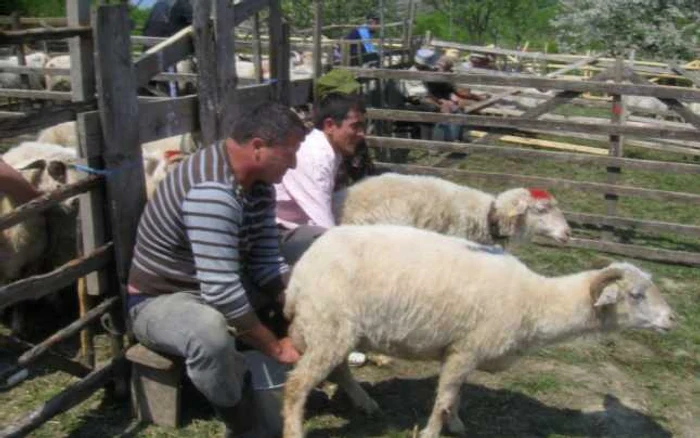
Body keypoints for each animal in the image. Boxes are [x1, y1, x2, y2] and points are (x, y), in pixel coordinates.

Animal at [284, 226, 680, 438]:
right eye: (636, 295)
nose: (673, 319)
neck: (535, 302)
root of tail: (302, 268)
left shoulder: (462, 350)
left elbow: (455, 396)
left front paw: (457, 424)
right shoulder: (465, 350)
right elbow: (444, 399)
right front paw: (432, 432)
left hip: (338, 330)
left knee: (340, 369)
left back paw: (365, 403)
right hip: (328, 325)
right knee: (296, 387)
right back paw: (295, 429)